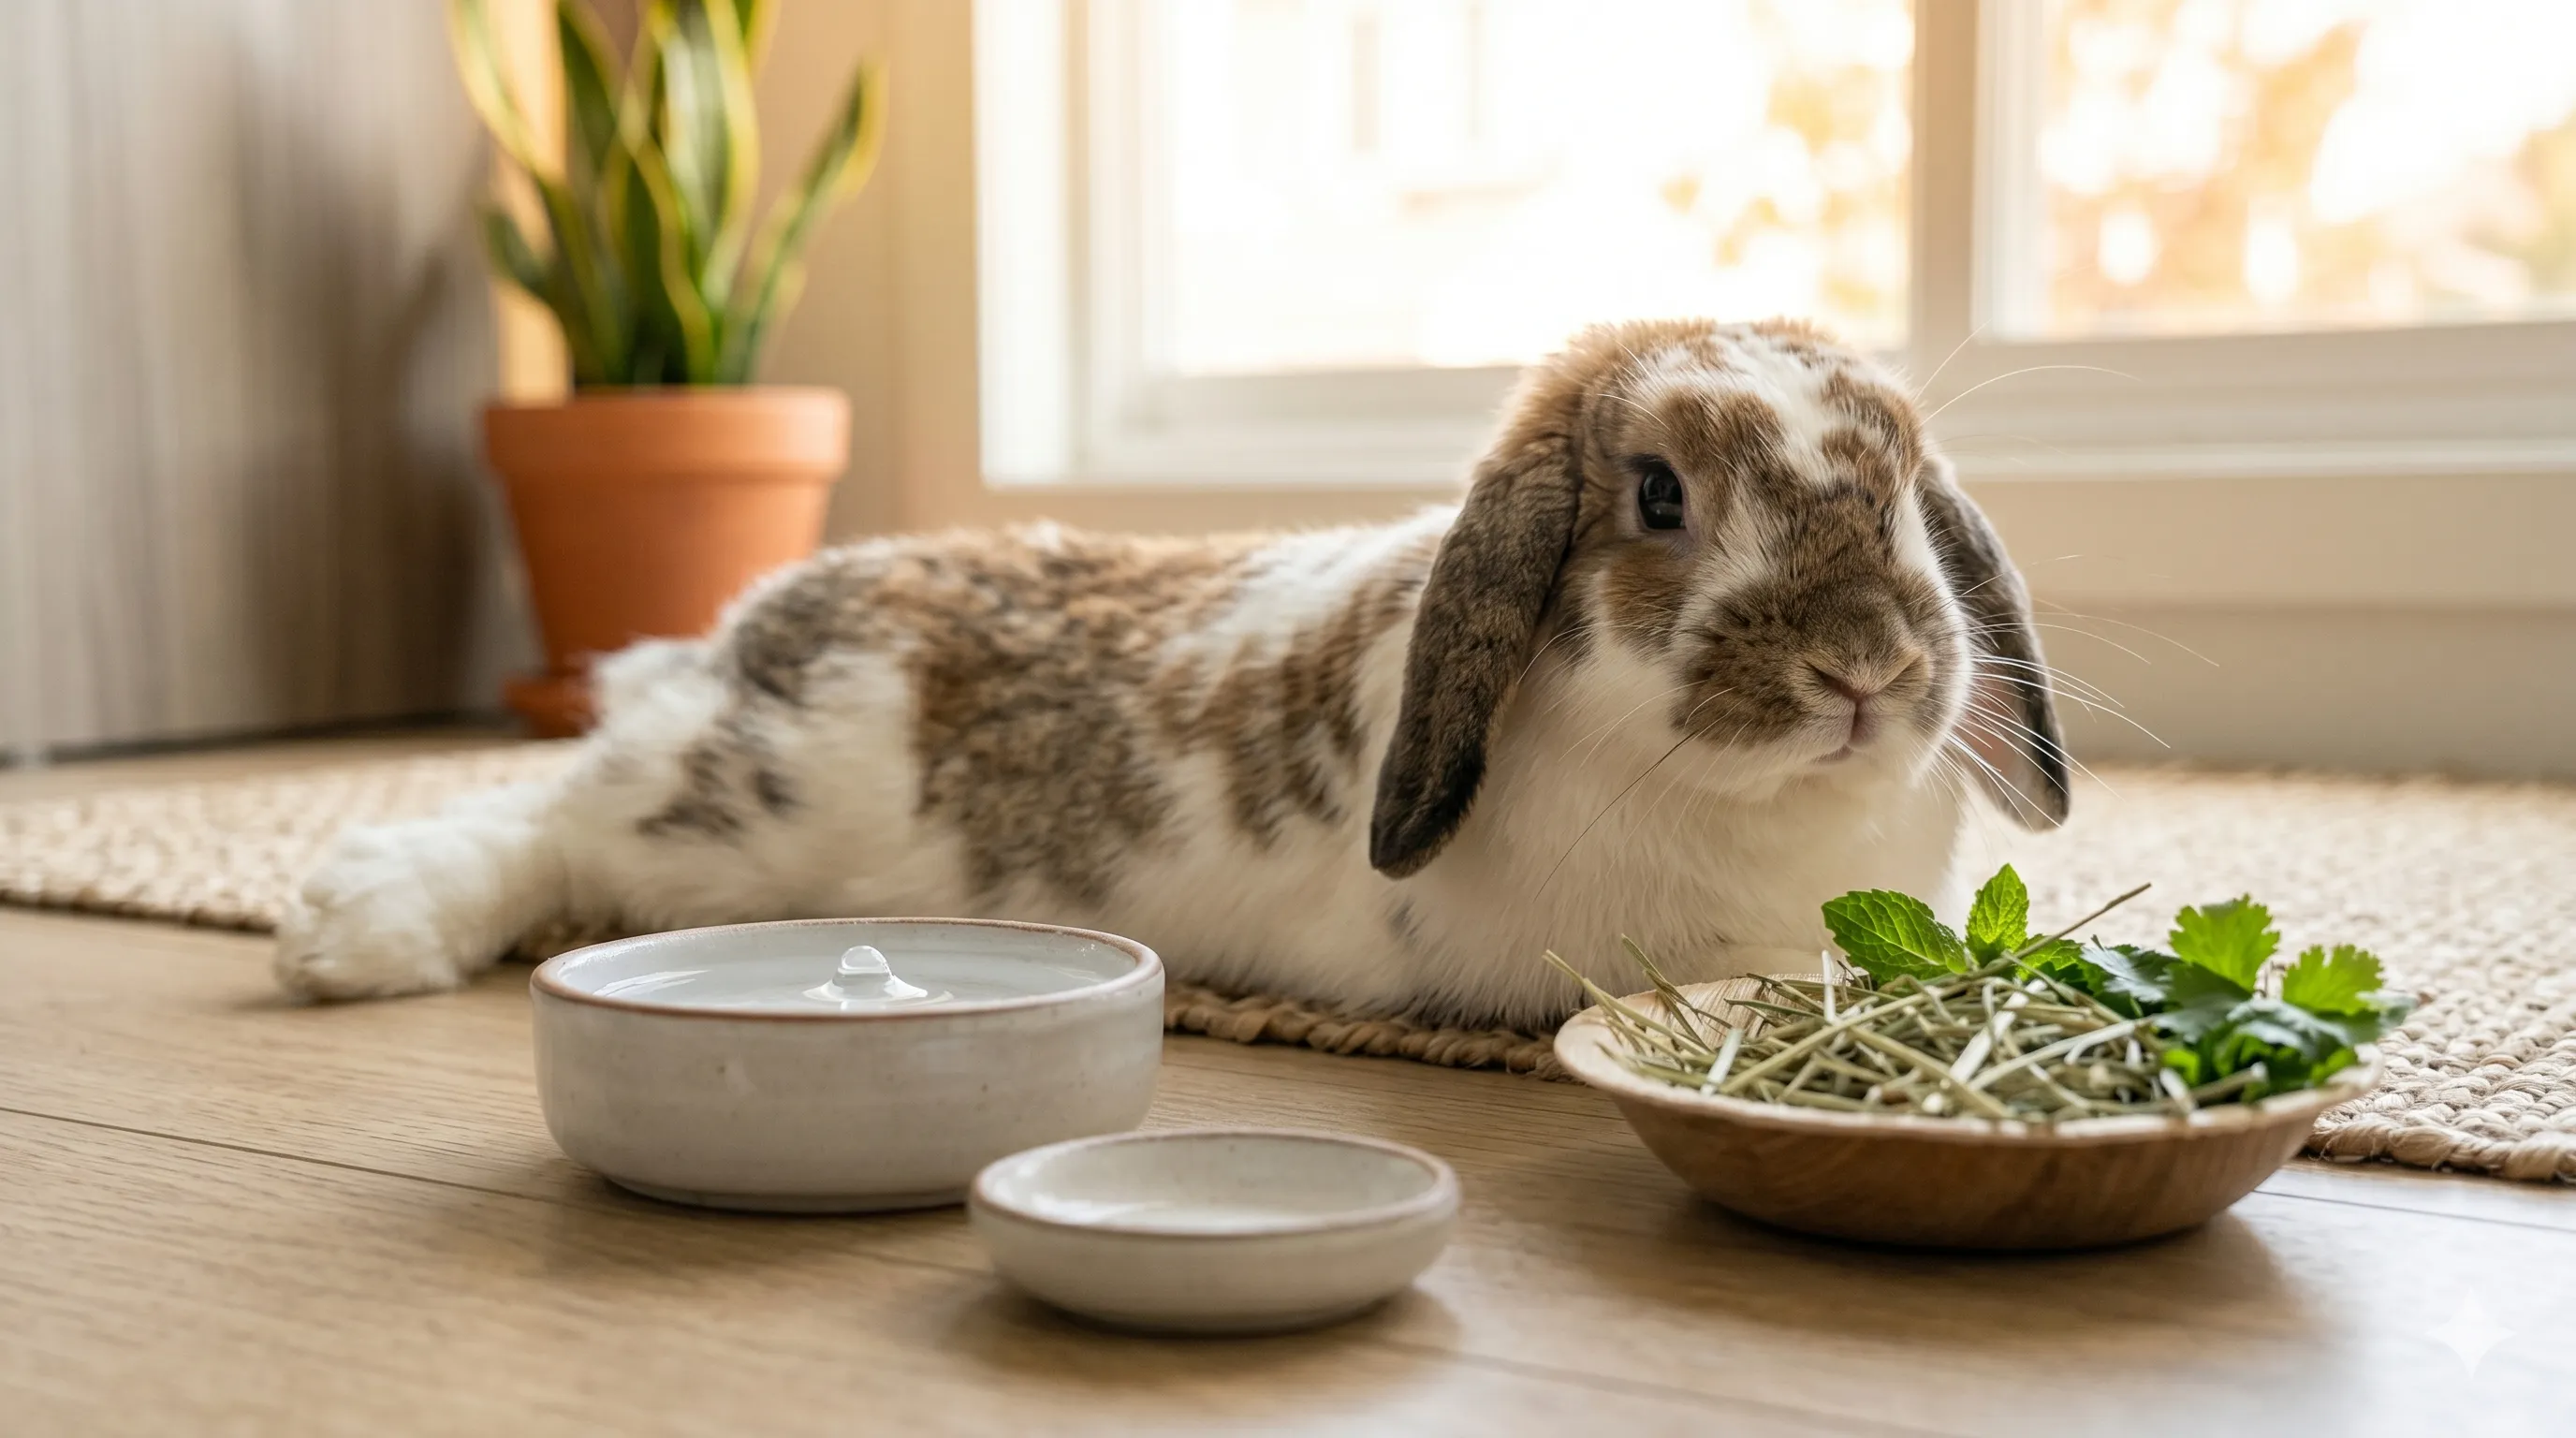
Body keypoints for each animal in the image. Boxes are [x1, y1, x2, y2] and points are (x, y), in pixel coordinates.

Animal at [274, 317, 2069, 1029]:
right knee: (549, 829)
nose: (1866, 665)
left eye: (1906, 483)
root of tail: (741, 634)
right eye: (1657, 497)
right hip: (716, 819)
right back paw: (350, 926)